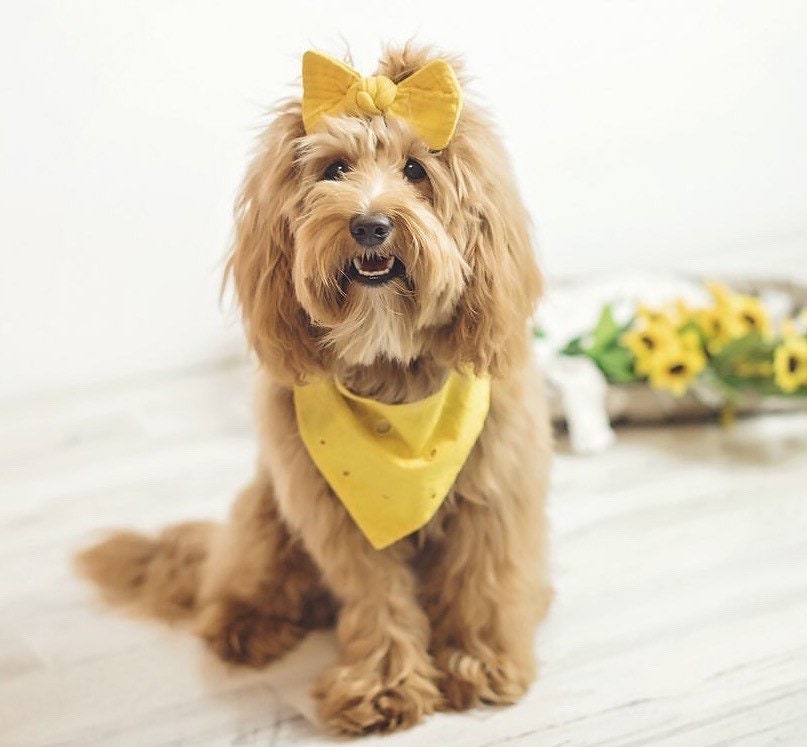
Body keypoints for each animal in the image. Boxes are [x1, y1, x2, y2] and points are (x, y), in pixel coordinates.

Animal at [77, 42, 556, 736]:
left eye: (415, 170)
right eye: (335, 168)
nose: (370, 226)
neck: (392, 379)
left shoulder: (492, 496)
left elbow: (481, 584)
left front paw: (479, 662)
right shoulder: (338, 516)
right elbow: (376, 599)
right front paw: (384, 686)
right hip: (266, 517)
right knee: (234, 586)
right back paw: (246, 625)